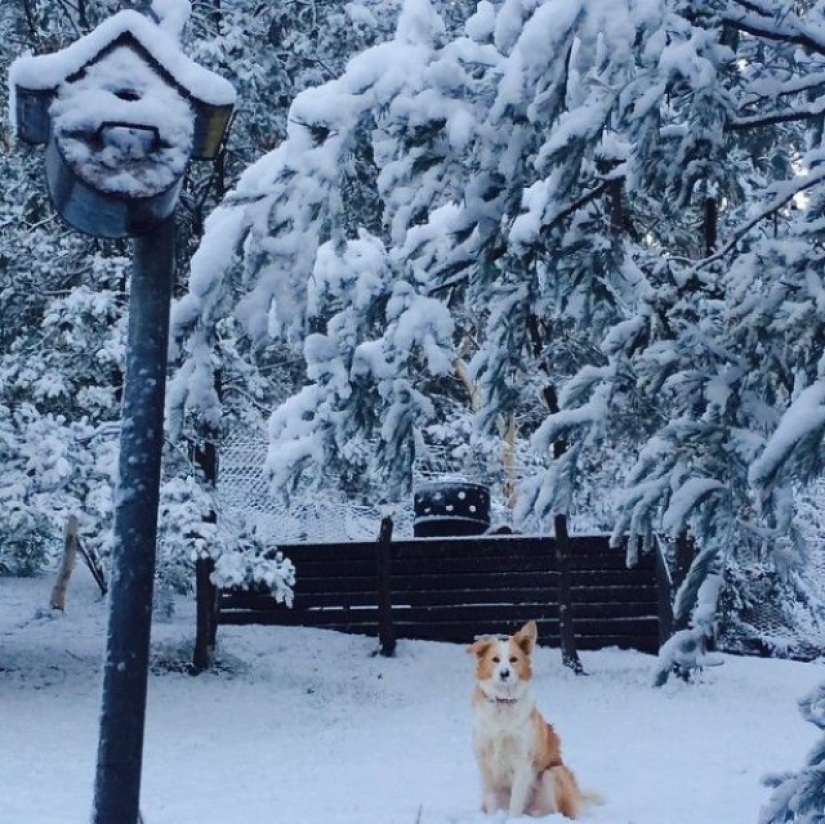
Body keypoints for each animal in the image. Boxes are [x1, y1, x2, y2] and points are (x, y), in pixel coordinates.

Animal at [466, 624, 600, 816]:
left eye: (513, 660)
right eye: (495, 660)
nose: (505, 673)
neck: (503, 703)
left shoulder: (523, 761)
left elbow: (515, 803)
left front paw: (512, 819)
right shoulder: (484, 761)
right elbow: (492, 801)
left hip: (554, 772)